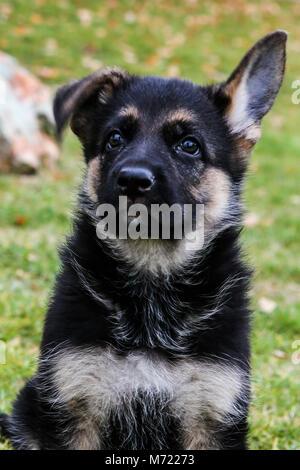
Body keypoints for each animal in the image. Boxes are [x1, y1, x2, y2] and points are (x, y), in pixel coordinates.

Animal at [0, 31, 286, 450]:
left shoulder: (211, 413)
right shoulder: (75, 403)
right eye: (114, 139)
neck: (152, 278)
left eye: (189, 145)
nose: (133, 180)